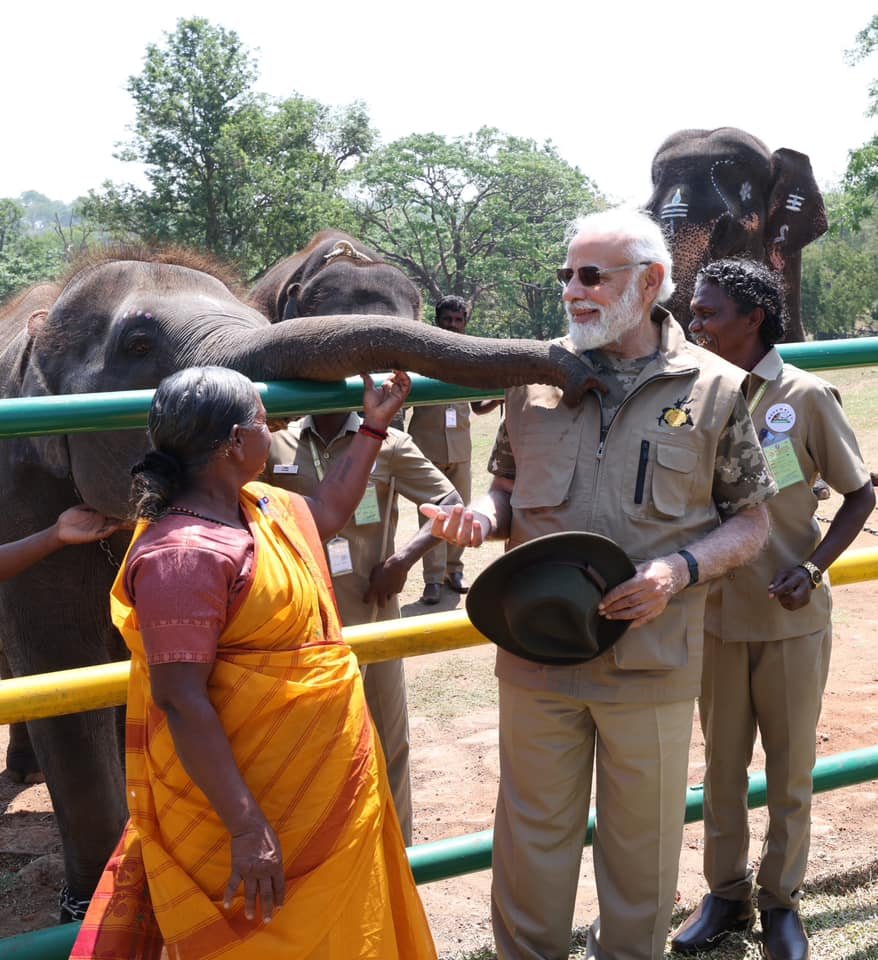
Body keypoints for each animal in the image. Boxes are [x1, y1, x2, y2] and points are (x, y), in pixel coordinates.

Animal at [0, 242, 600, 916]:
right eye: (136, 344)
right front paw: (93, 905)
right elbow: (56, 665)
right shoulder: (22, 489)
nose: (583, 375)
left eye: (259, 321)